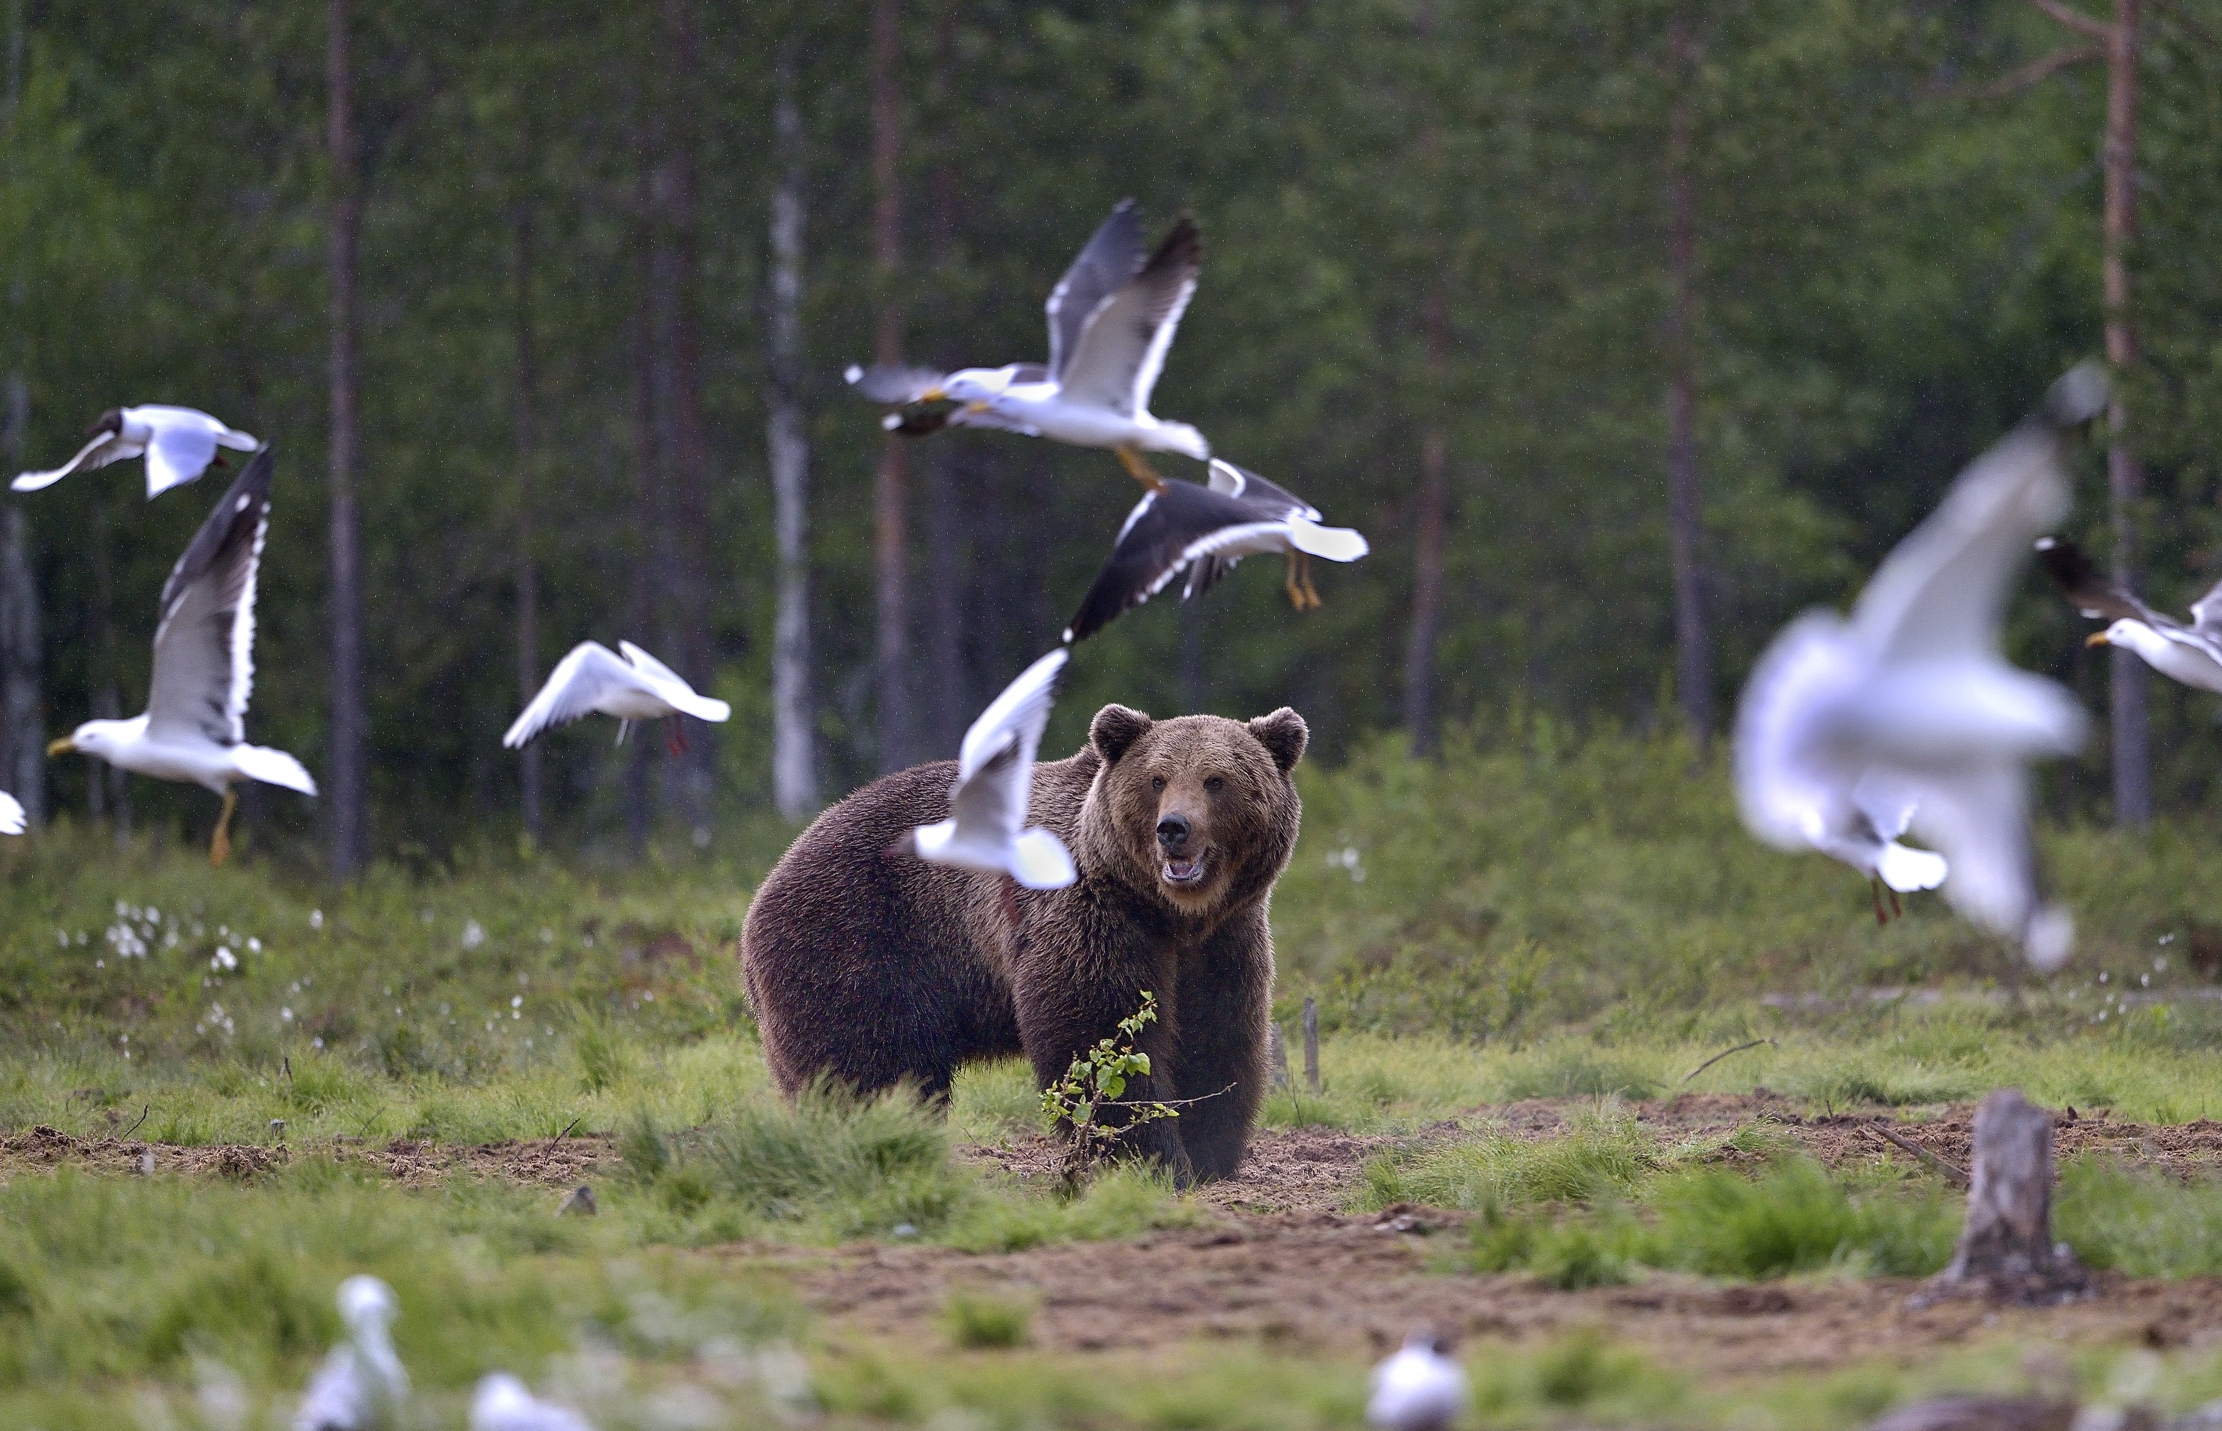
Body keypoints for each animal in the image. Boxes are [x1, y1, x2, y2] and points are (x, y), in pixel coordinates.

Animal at [741, 703, 1308, 1184]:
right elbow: (1101, 1036)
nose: (1174, 828)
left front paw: (1211, 1154)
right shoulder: (1089, 915)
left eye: (1217, 780)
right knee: (864, 1063)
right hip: (861, 937)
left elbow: (1215, 1033)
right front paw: (1152, 1158)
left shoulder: (1224, 939)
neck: (1170, 913)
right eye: (1157, 779)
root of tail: (769, 879)